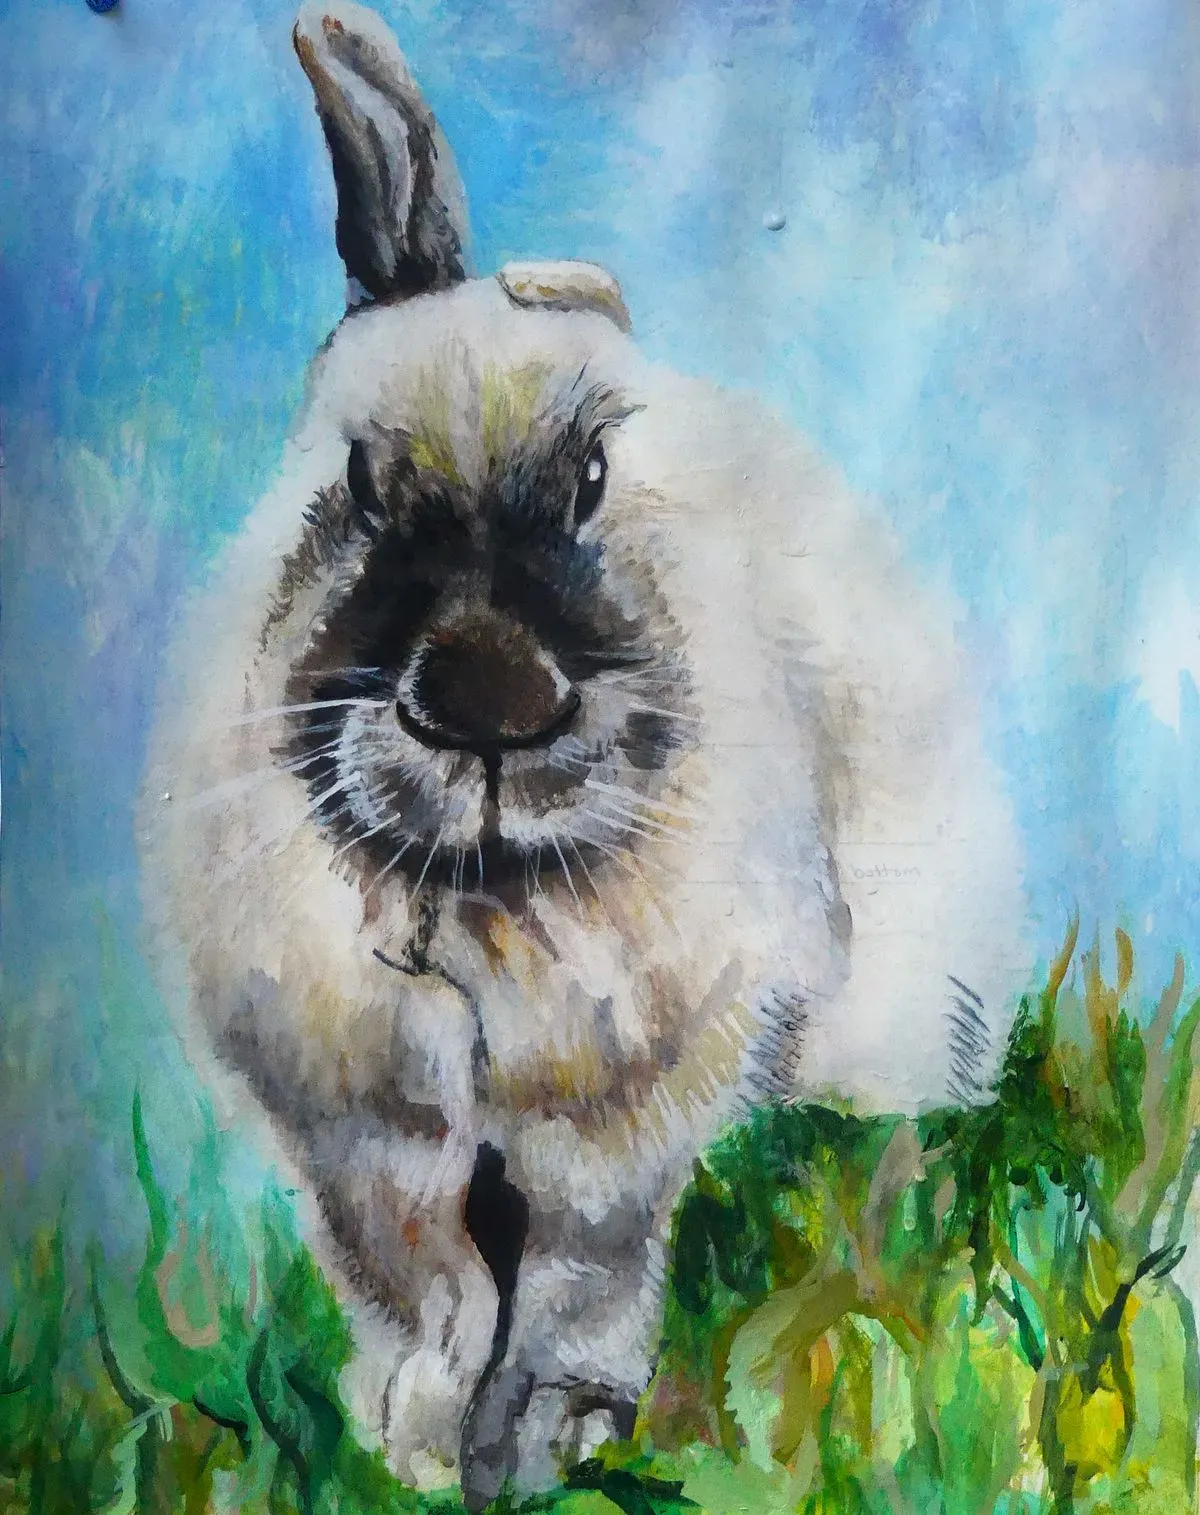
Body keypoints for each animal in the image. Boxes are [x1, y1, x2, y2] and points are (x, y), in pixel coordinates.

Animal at [139, 2, 1030, 1507]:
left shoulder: (624, 1126)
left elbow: (575, 1280)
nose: (487, 699)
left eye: (596, 478)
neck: (486, 904)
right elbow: (429, 1281)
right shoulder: (369, 1141)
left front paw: (552, 1436)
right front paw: (419, 1439)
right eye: (359, 484)